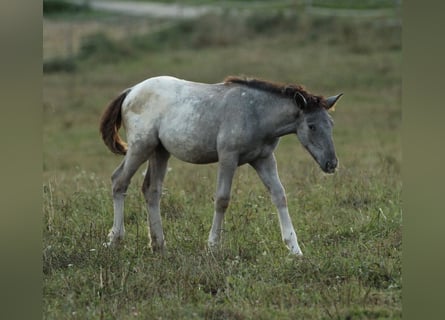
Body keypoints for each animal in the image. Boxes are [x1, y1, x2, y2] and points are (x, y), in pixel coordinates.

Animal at [100, 75, 342, 255]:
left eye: (331, 123)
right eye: (311, 126)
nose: (331, 163)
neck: (256, 113)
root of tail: (131, 91)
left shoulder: (264, 159)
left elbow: (279, 195)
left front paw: (295, 249)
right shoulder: (228, 157)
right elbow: (222, 199)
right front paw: (213, 245)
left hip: (160, 151)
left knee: (151, 190)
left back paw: (159, 245)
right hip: (141, 146)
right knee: (119, 181)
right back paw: (115, 239)